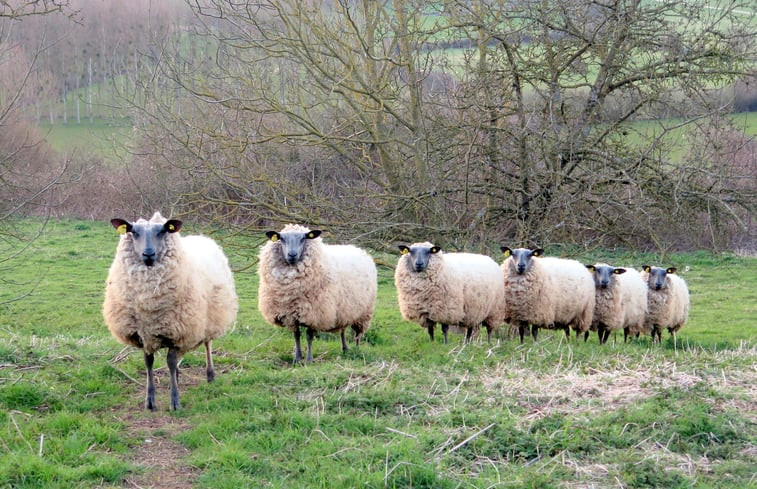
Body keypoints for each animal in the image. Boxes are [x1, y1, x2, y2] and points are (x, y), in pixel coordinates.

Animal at [101, 212, 236, 410]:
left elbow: (170, 362)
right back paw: (178, 377)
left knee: (207, 343)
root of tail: (202, 237)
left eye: (162, 231)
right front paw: (150, 400)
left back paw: (210, 374)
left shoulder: (177, 330)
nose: (148, 254)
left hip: (209, 317)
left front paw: (175, 401)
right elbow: (148, 362)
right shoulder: (145, 334)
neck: (148, 304)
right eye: (134, 232)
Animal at [256, 225, 378, 362]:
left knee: (358, 333)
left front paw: (309, 359)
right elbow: (296, 335)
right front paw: (297, 358)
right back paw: (345, 349)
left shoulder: (315, 313)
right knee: (343, 330)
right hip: (344, 309)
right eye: (281, 238)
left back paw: (356, 349)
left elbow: (309, 336)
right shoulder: (290, 314)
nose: (292, 254)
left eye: (303, 238)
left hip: (364, 312)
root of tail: (359, 250)